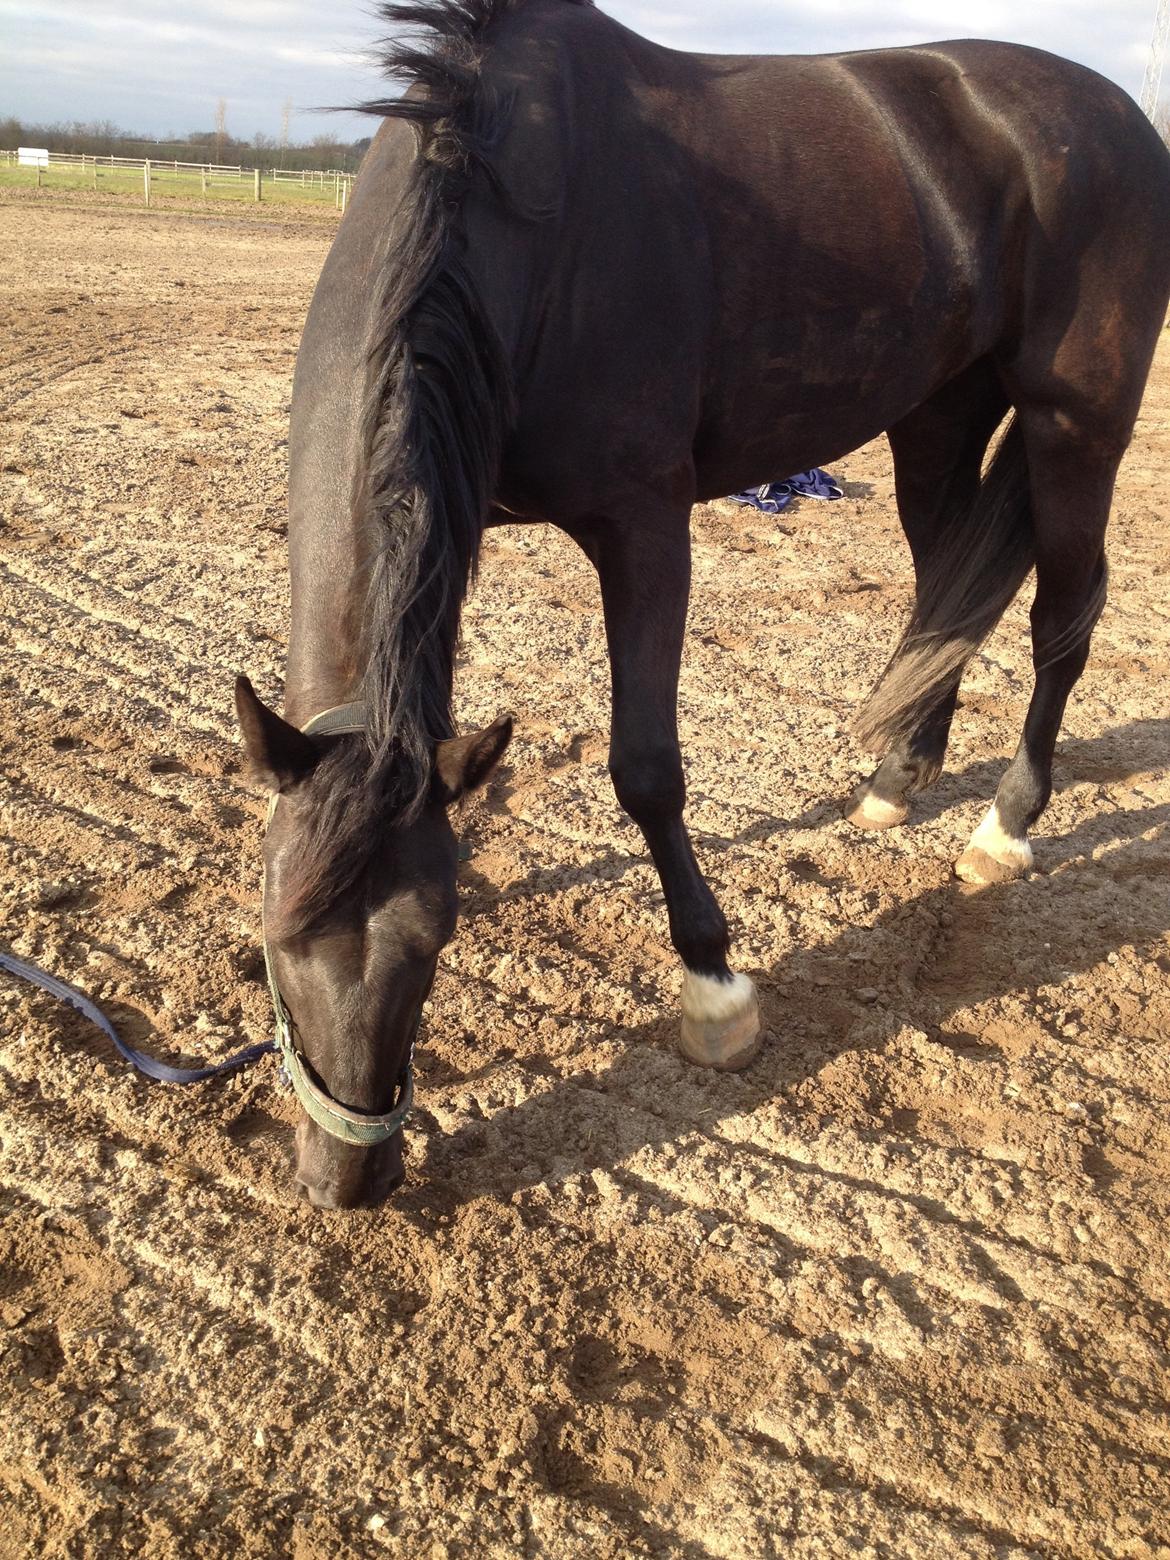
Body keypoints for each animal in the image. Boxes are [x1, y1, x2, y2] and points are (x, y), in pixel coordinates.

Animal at [235, 0, 1170, 1204]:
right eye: (277, 932)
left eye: (434, 941)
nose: (345, 1182)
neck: (520, 221)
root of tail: (1112, 112)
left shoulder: (646, 526)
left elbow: (645, 769)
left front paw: (714, 985)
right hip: (938, 412)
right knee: (944, 591)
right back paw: (896, 781)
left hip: (1075, 425)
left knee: (1063, 618)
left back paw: (1004, 824)